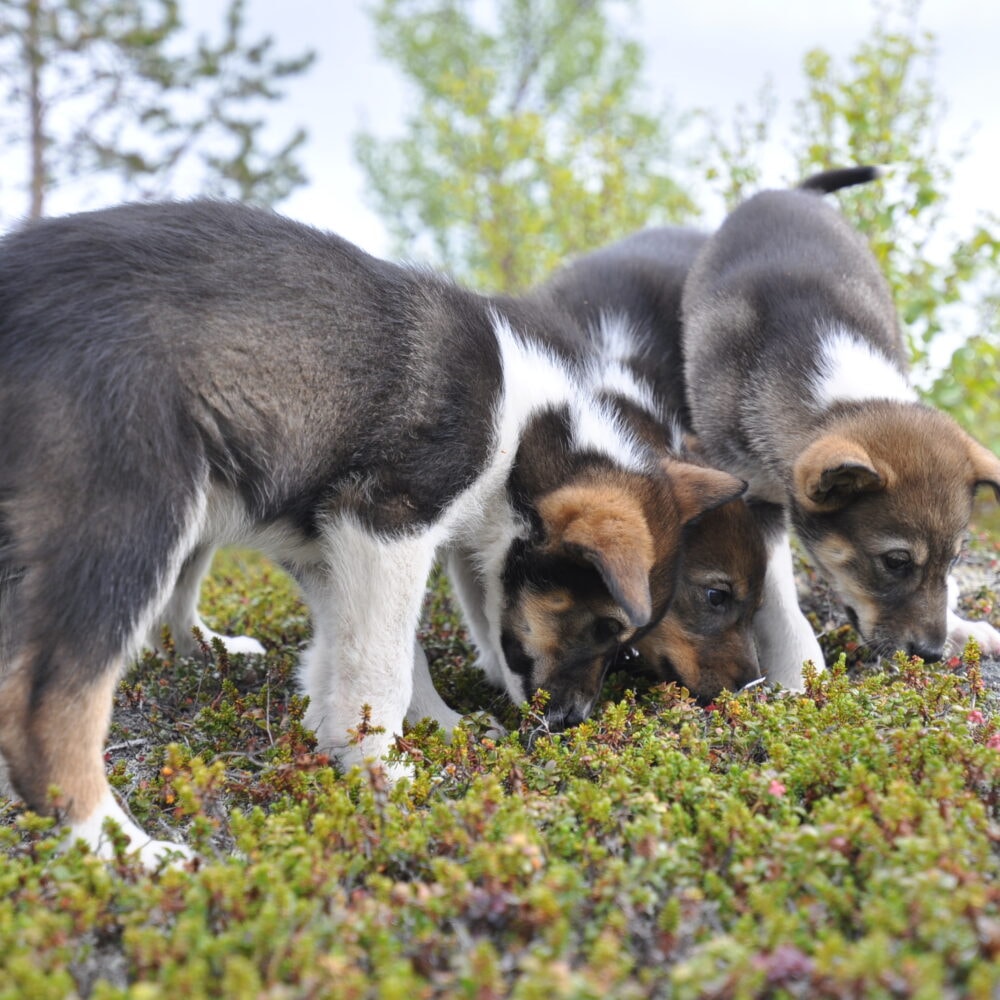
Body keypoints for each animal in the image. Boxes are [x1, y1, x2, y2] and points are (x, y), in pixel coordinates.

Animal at [0, 199, 744, 864]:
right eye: (605, 626)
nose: (569, 724)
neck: (525, 430)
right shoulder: (389, 524)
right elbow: (382, 666)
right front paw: (382, 767)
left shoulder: (333, 545)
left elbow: (383, 656)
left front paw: (424, 731)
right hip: (133, 523)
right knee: (45, 713)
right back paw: (122, 850)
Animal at [684, 168, 1000, 692]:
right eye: (895, 562)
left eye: (955, 560)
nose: (932, 654)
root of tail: (790, 191)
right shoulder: (755, 496)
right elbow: (779, 600)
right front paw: (798, 675)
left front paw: (960, 626)